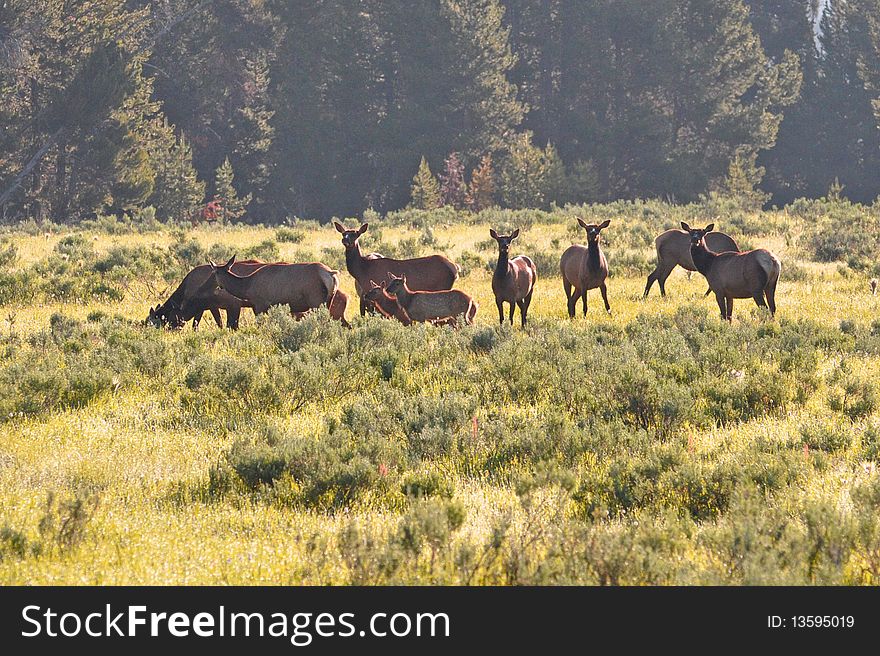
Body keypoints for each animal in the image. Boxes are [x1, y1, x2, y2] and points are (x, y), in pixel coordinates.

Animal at [210, 254, 340, 318]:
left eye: (214, 273)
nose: (215, 287)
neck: (247, 288)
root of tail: (330, 273)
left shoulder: (260, 304)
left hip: (315, 300)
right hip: (329, 300)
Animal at [332, 222, 460, 316]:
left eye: (355, 234)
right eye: (343, 234)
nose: (345, 240)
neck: (362, 271)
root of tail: (455, 268)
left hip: (442, 286)